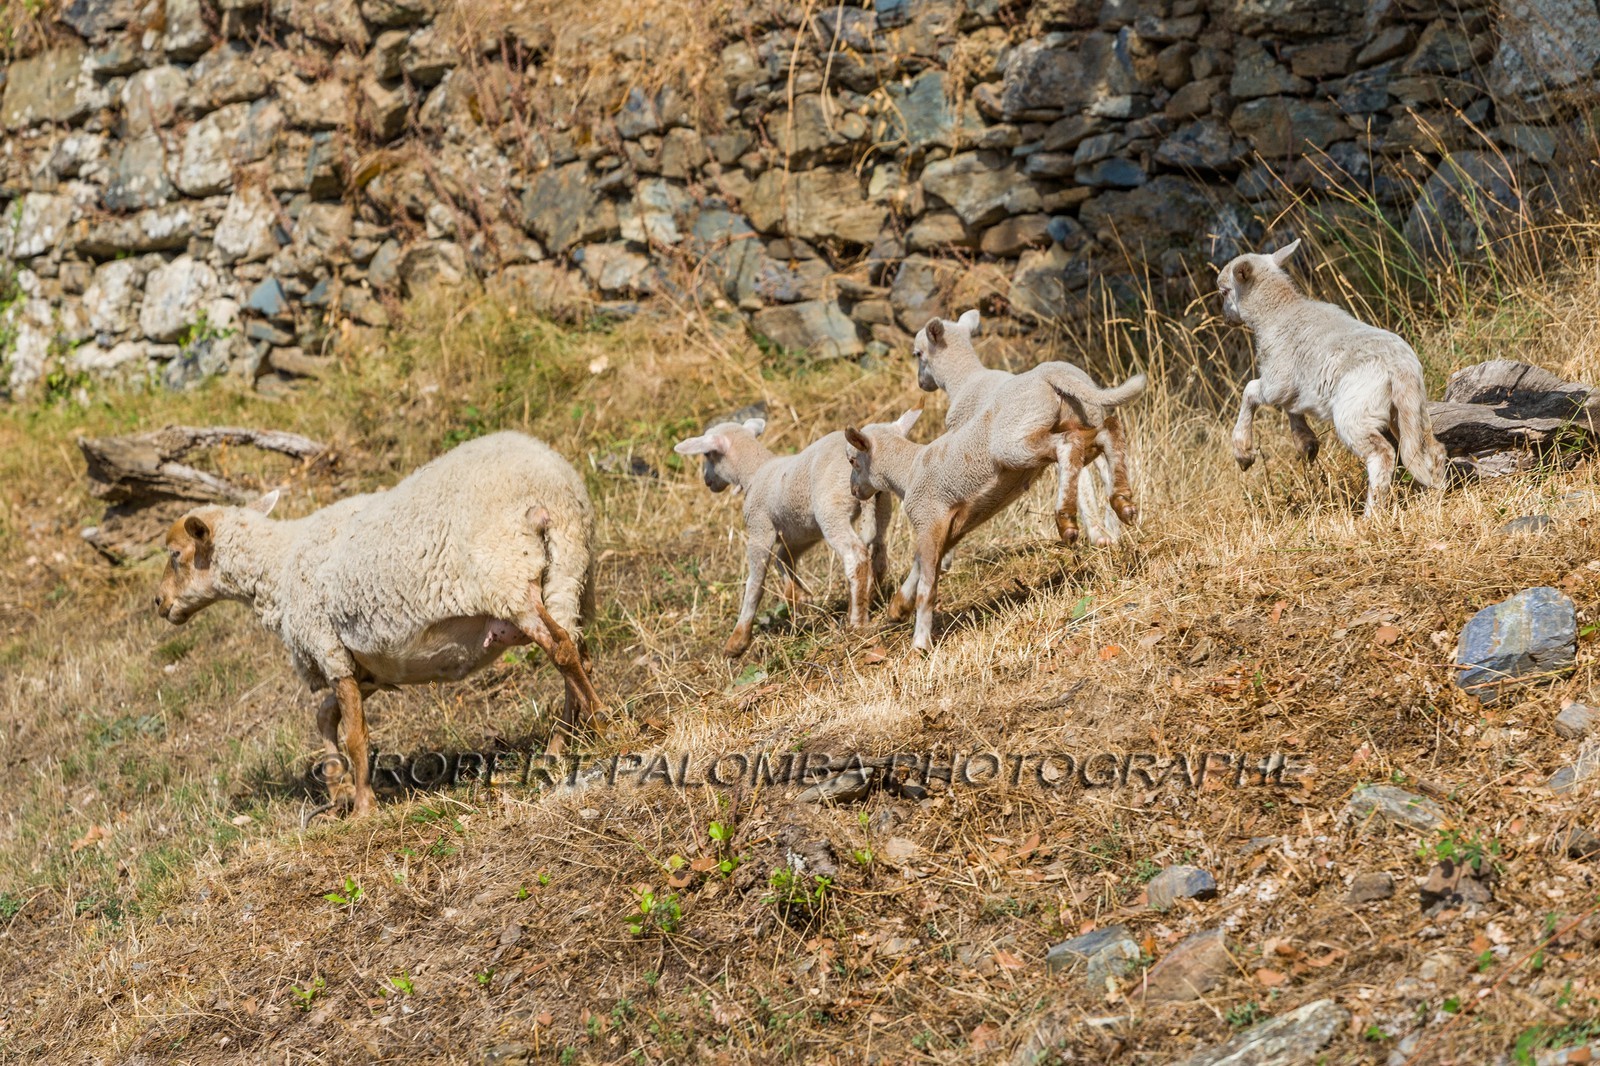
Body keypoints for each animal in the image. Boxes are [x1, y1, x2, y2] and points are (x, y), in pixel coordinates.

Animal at [153, 431, 603, 816]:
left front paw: (363, 808)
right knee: (574, 652)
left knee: (561, 648)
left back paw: (599, 721)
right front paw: (337, 788)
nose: (160, 602)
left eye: (175, 555)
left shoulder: (328, 646)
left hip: (507, 573)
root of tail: (551, 488)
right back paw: (563, 744)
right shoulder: (367, 667)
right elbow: (325, 717)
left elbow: (356, 735)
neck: (279, 566)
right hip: (570, 570)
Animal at [674, 417, 892, 658]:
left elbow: (755, 584)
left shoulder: (760, 528)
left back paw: (857, 620)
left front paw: (738, 640)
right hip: (880, 503)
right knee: (878, 554)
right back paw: (871, 598)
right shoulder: (801, 532)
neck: (754, 471)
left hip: (831, 508)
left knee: (855, 555)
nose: (706, 481)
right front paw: (798, 595)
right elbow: (783, 560)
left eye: (707, 454)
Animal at [845, 361, 1147, 652]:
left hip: (1015, 442)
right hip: (1072, 420)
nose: (854, 491)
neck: (908, 470)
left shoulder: (929, 518)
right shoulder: (951, 527)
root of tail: (1048, 374)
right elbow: (920, 565)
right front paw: (898, 608)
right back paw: (1123, 503)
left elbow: (927, 587)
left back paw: (1066, 519)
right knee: (1106, 431)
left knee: (1068, 445)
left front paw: (920, 643)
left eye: (852, 461)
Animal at [912, 309, 1141, 547]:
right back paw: (1117, 518)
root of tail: (1052, 373)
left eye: (917, 354)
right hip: (1087, 417)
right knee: (1102, 461)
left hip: (1021, 438)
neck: (965, 379)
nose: (921, 383)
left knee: (1078, 466)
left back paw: (1091, 530)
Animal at [1217, 239, 1448, 517]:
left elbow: (1250, 391)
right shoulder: (1294, 386)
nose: (1225, 318)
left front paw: (1243, 453)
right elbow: (1292, 406)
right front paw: (1306, 443)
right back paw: (1436, 497)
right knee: (1431, 450)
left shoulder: (1276, 378)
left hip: (1356, 409)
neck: (1278, 313)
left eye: (1224, 292)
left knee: (1382, 454)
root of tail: (1400, 367)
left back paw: (1371, 515)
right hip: (1411, 408)